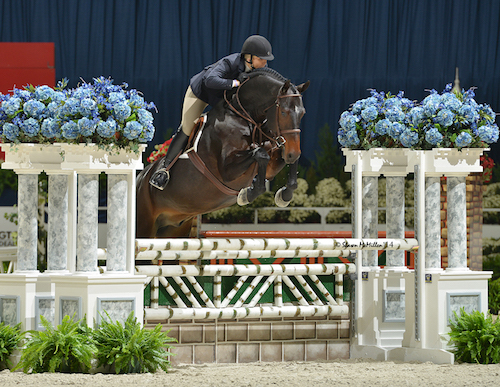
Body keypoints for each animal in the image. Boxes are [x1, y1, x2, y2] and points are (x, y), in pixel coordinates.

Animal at [136, 68, 308, 238]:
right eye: (284, 112)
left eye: (302, 113)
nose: (292, 152)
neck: (245, 117)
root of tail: (140, 177)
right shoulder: (227, 171)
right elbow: (260, 154)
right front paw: (247, 195)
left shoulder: (271, 164)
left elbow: (280, 160)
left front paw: (284, 196)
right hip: (144, 225)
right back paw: (160, 177)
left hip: (174, 229)